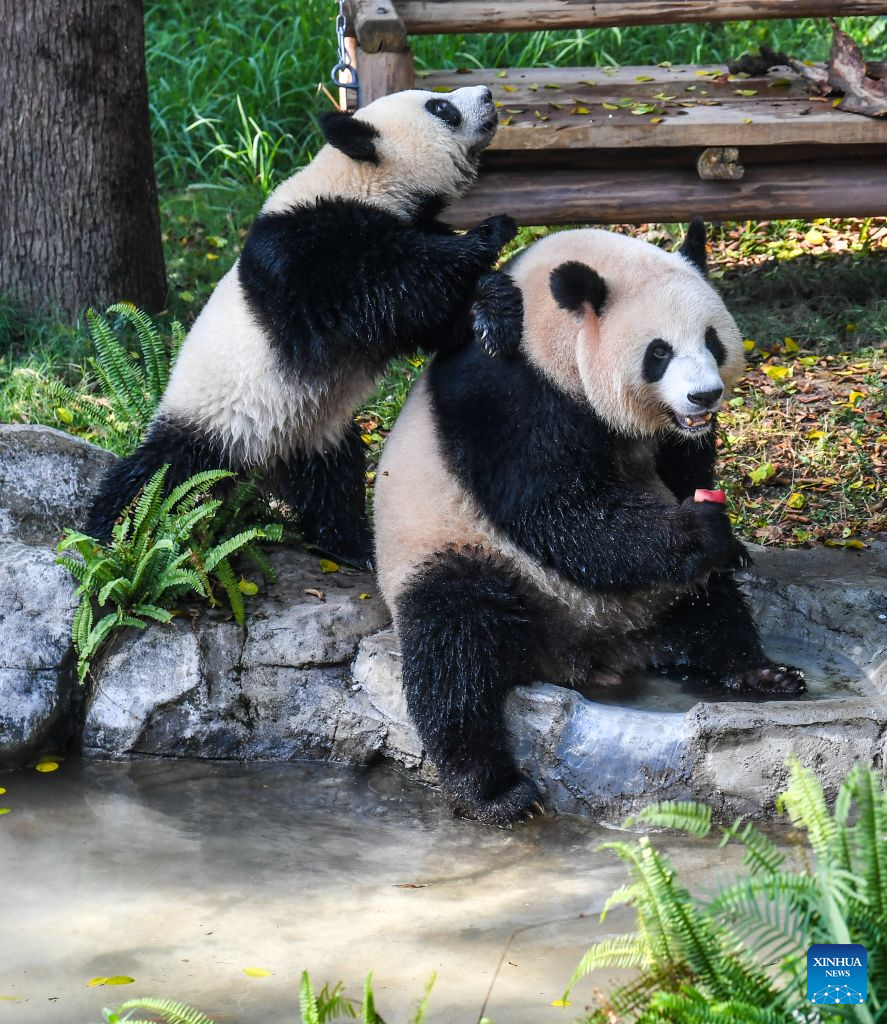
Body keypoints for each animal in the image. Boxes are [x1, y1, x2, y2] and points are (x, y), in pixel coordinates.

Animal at [85, 86, 523, 567]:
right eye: (440, 108)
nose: (486, 94)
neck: (362, 182)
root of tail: (259, 463)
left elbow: (421, 318)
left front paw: (496, 315)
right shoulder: (303, 254)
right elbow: (384, 289)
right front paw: (489, 233)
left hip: (315, 431)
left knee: (333, 480)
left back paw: (350, 546)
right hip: (210, 420)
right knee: (159, 474)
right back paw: (109, 533)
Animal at [373, 222, 806, 827]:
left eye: (712, 340)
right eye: (659, 352)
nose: (705, 395)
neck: (550, 331)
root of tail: (587, 651)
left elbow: (683, 465)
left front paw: (731, 541)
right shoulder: (509, 391)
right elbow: (556, 509)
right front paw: (700, 528)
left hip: (651, 598)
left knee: (709, 604)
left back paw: (757, 672)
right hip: (462, 551)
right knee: (455, 641)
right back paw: (494, 792)